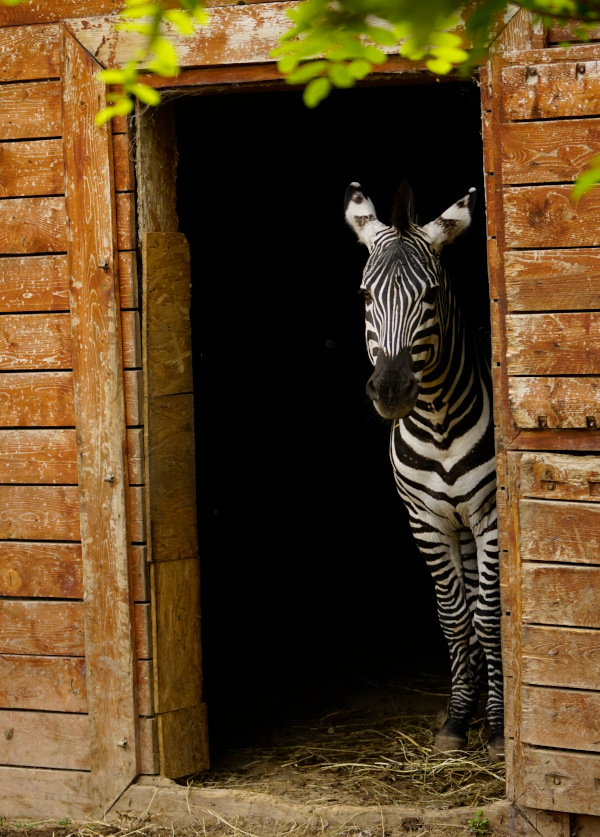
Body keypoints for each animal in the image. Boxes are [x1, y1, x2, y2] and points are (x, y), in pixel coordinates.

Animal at [344, 181, 503, 762]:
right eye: (366, 297)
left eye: (430, 297)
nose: (391, 392)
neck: (438, 421)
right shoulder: (426, 521)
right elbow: (455, 619)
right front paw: (458, 720)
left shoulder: (491, 517)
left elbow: (489, 616)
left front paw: (499, 728)